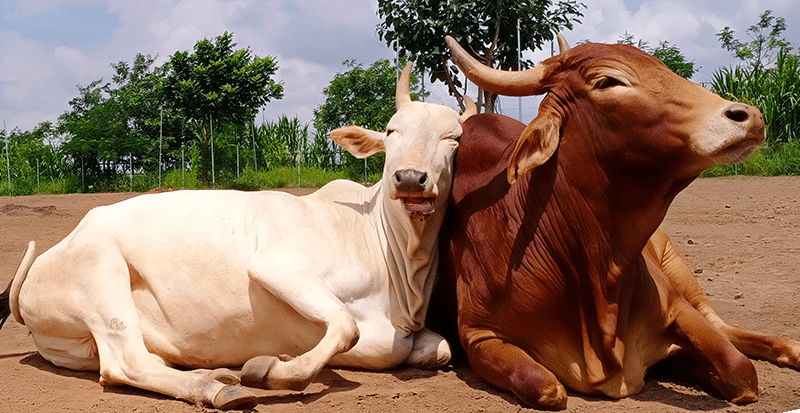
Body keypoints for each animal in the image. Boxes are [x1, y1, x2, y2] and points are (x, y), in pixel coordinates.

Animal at [0, 64, 476, 408]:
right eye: (392, 132)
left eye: (453, 139)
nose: (410, 179)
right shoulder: (278, 267)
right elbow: (345, 327)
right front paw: (269, 369)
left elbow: (440, 349)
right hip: (101, 272)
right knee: (127, 362)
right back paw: (219, 388)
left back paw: (211, 373)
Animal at [438, 35, 800, 408]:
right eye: (607, 81)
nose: (750, 115)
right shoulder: (479, 335)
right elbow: (547, 387)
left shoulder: (677, 306)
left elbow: (741, 372)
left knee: (723, 327)